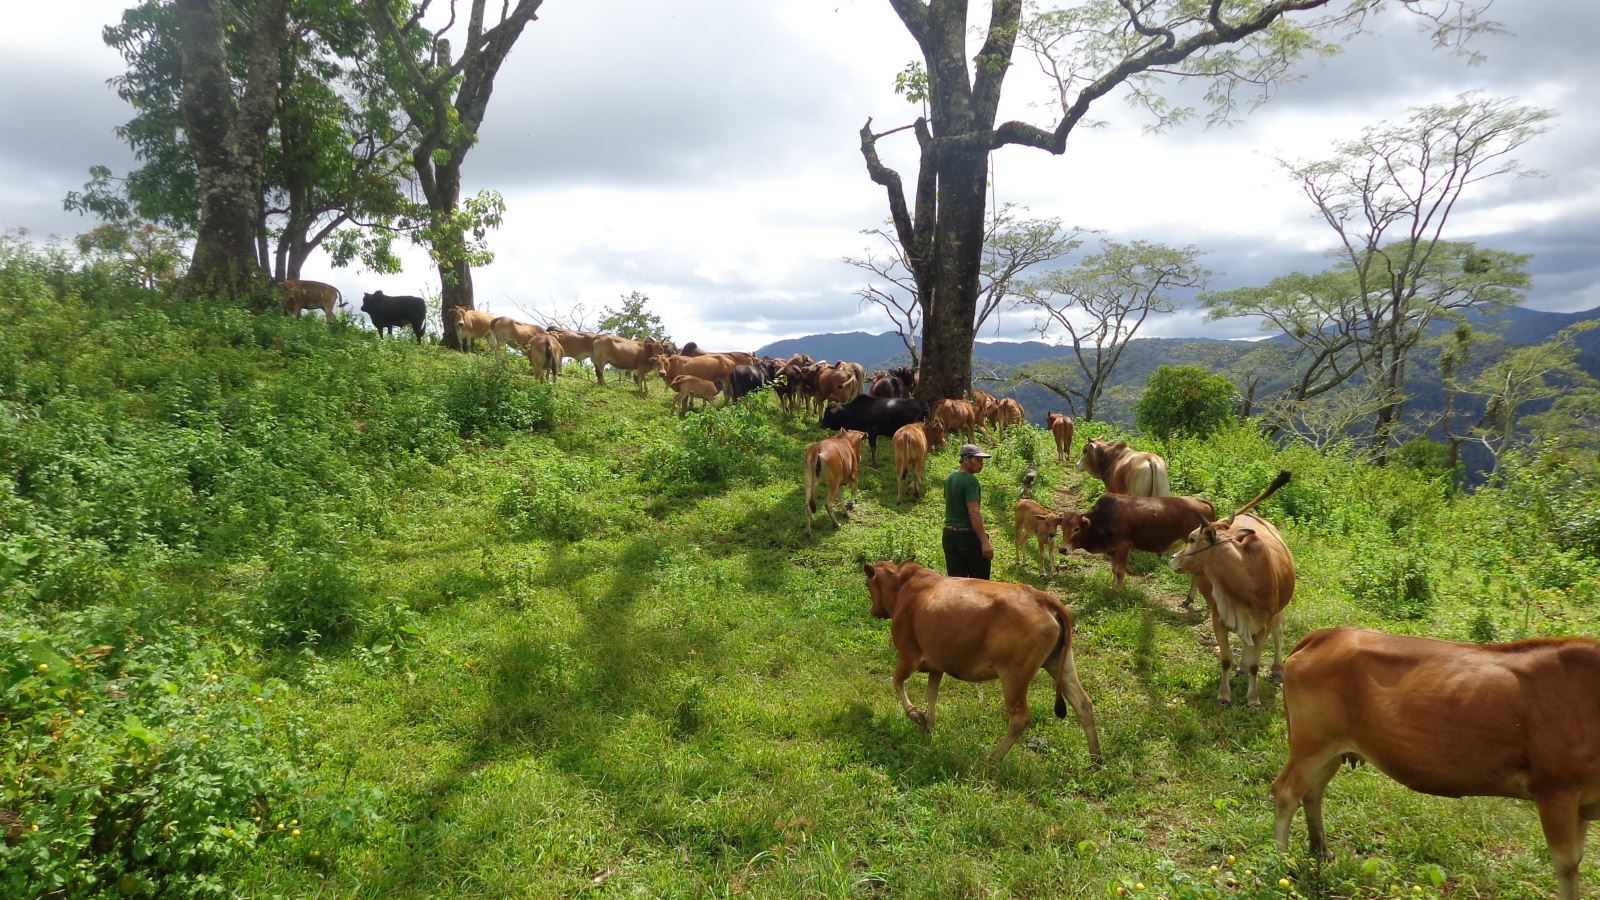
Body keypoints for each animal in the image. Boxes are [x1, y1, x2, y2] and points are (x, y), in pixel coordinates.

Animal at [864, 557, 1100, 759]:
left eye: (868, 585)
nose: (873, 610)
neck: (903, 586)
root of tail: (1044, 599)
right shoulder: (937, 664)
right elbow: (932, 693)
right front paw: (928, 725)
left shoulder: (908, 656)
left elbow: (897, 682)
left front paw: (915, 714)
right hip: (1060, 663)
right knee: (1083, 704)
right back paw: (1096, 759)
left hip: (1014, 676)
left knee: (1020, 718)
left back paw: (991, 760)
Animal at [1273, 624, 1600, 896]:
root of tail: (1327, 634)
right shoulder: (1556, 790)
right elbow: (1566, 865)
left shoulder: (1580, 803)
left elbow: (1576, 861)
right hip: (1312, 743)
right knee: (1285, 792)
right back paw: (1282, 863)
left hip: (1332, 748)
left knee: (1313, 792)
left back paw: (1320, 849)